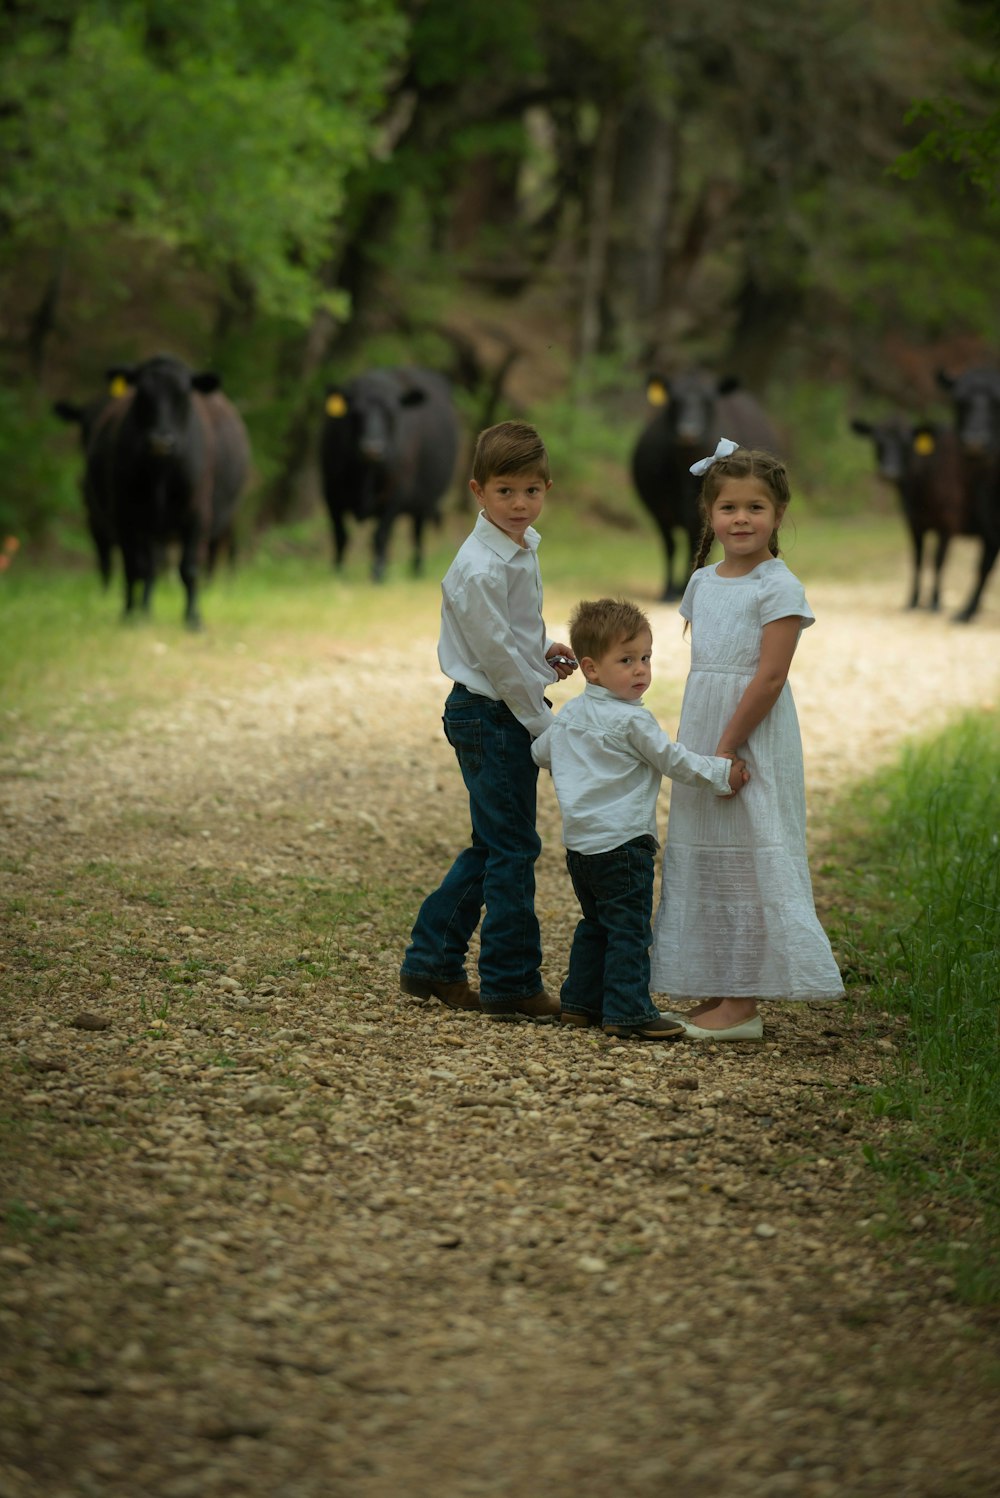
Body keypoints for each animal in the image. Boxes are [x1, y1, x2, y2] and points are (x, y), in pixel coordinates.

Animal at [92, 355, 248, 626]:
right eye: (141, 393)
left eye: (184, 394)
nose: (160, 441)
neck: (161, 472)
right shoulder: (124, 514)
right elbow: (134, 567)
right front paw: (130, 614)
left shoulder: (199, 515)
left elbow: (190, 568)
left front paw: (193, 618)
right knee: (148, 567)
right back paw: (143, 610)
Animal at [320, 365, 461, 581]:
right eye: (356, 413)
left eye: (392, 413)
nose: (372, 449)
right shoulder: (331, 492)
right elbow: (340, 535)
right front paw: (338, 571)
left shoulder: (395, 492)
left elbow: (380, 534)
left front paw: (378, 573)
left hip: (425, 500)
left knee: (416, 532)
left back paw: (416, 569)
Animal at [631, 371, 778, 599]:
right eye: (674, 401)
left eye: (708, 401)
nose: (688, 432)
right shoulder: (659, 509)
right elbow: (670, 546)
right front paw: (669, 590)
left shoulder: (698, 516)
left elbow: (694, 546)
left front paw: (685, 585)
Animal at [850, 416, 970, 608]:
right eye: (878, 441)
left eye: (906, 443)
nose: (890, 471)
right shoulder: (914, 522)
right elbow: (918, 559)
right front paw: (913, 600)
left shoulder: (948, 523)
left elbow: (938, 561)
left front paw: (935, 601)